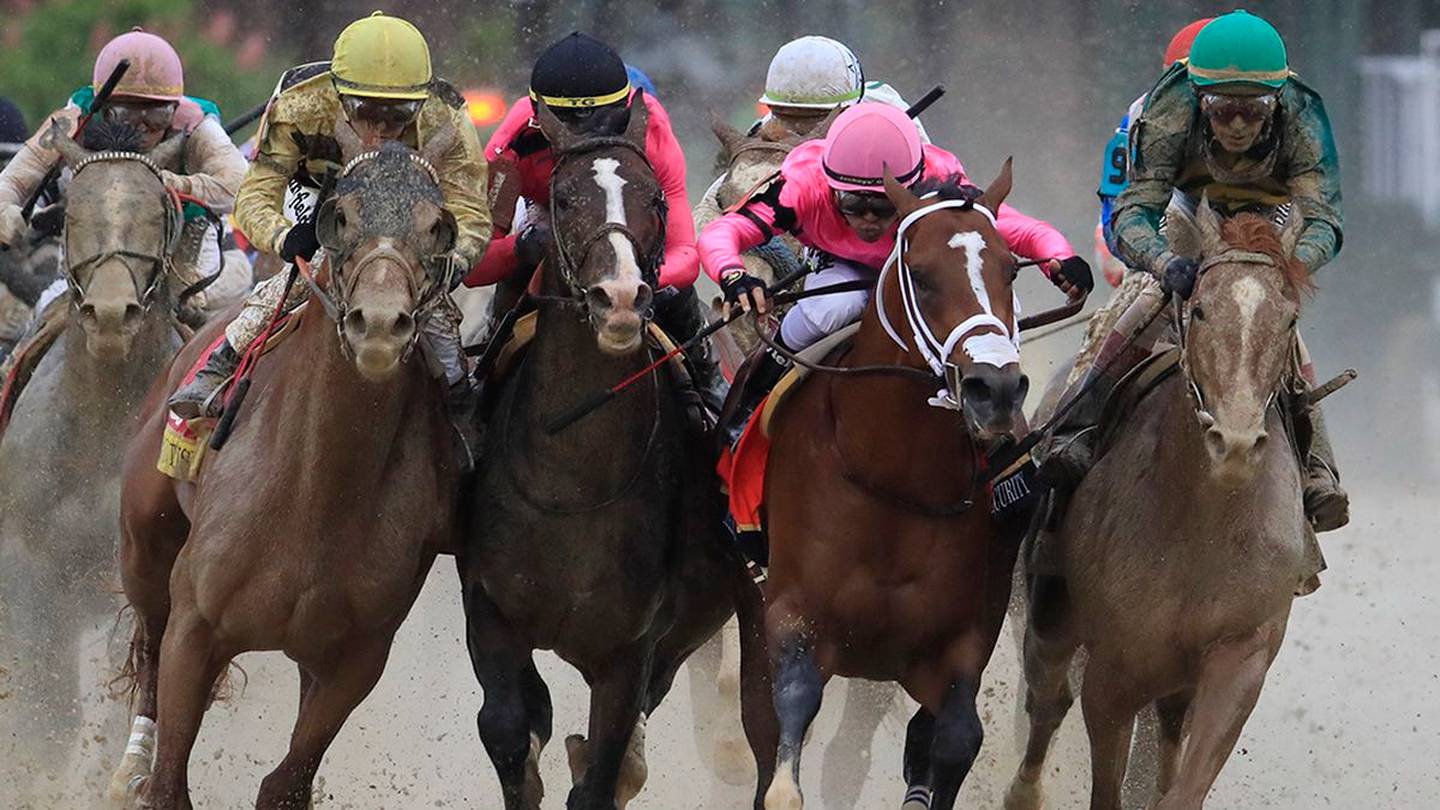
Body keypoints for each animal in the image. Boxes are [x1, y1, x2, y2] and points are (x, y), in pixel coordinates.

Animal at [0, 118, 188, 795]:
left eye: (158, 214)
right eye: (73, 214)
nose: (110, 315)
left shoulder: (130, 574)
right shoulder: (28, 568)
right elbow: (46, 705)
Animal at [110, 140, 457, 807]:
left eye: (436, 227)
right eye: (338, 216)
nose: (380, 325)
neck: (316, 490)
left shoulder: (354, 657)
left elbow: (286, 782)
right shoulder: (195, 622)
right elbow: (168, 780)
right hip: (145, 541)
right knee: (149, 644)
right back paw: (128, 764)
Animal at [754, 164, 1036, 807]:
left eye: (1011, 270)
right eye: (923, 276)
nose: (995, 390)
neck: (894, 482)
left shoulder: (962, 640)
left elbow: (955, 739)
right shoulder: (791, 615)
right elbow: (790, 722)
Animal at [1008, 201, 1319, 807]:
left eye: (1290, 320)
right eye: (1199, 309)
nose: (1235, 442)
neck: (1204, 523)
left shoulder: (1238, 656)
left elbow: (1184, 784)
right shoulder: (1116, 671)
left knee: (1167, 726)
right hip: (1050, 611)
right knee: (1047, 696)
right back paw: (1024, 790)